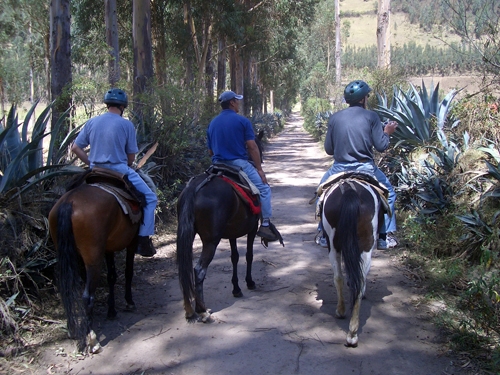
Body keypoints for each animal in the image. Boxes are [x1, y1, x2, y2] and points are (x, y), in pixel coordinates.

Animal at [48, 174, 141, 356]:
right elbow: (128, 271)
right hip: (92, 258)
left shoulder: (108, 247)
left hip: (65, 253)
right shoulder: (132, 242)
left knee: (66, 290)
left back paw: (72, 330)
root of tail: (69, 202)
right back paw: (92, 340)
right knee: (87, 296)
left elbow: (112, 276)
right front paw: (129, 301)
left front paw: (111, 310)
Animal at [318, 173, 384, 350]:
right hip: (365, 245)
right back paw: (350, 328)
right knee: (358, 280)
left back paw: (346, 321)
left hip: (335, 244)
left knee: (340, 277)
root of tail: (350, 191)